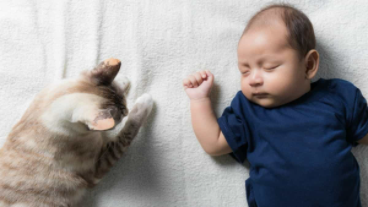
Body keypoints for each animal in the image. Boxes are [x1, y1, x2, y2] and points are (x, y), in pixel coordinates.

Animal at [0, 58, 153, 207]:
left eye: (125, 103)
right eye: (120, 117)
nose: (126, 111)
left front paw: (123, 79)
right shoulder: (98, 166)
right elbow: (131, 126)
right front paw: (146, 100)